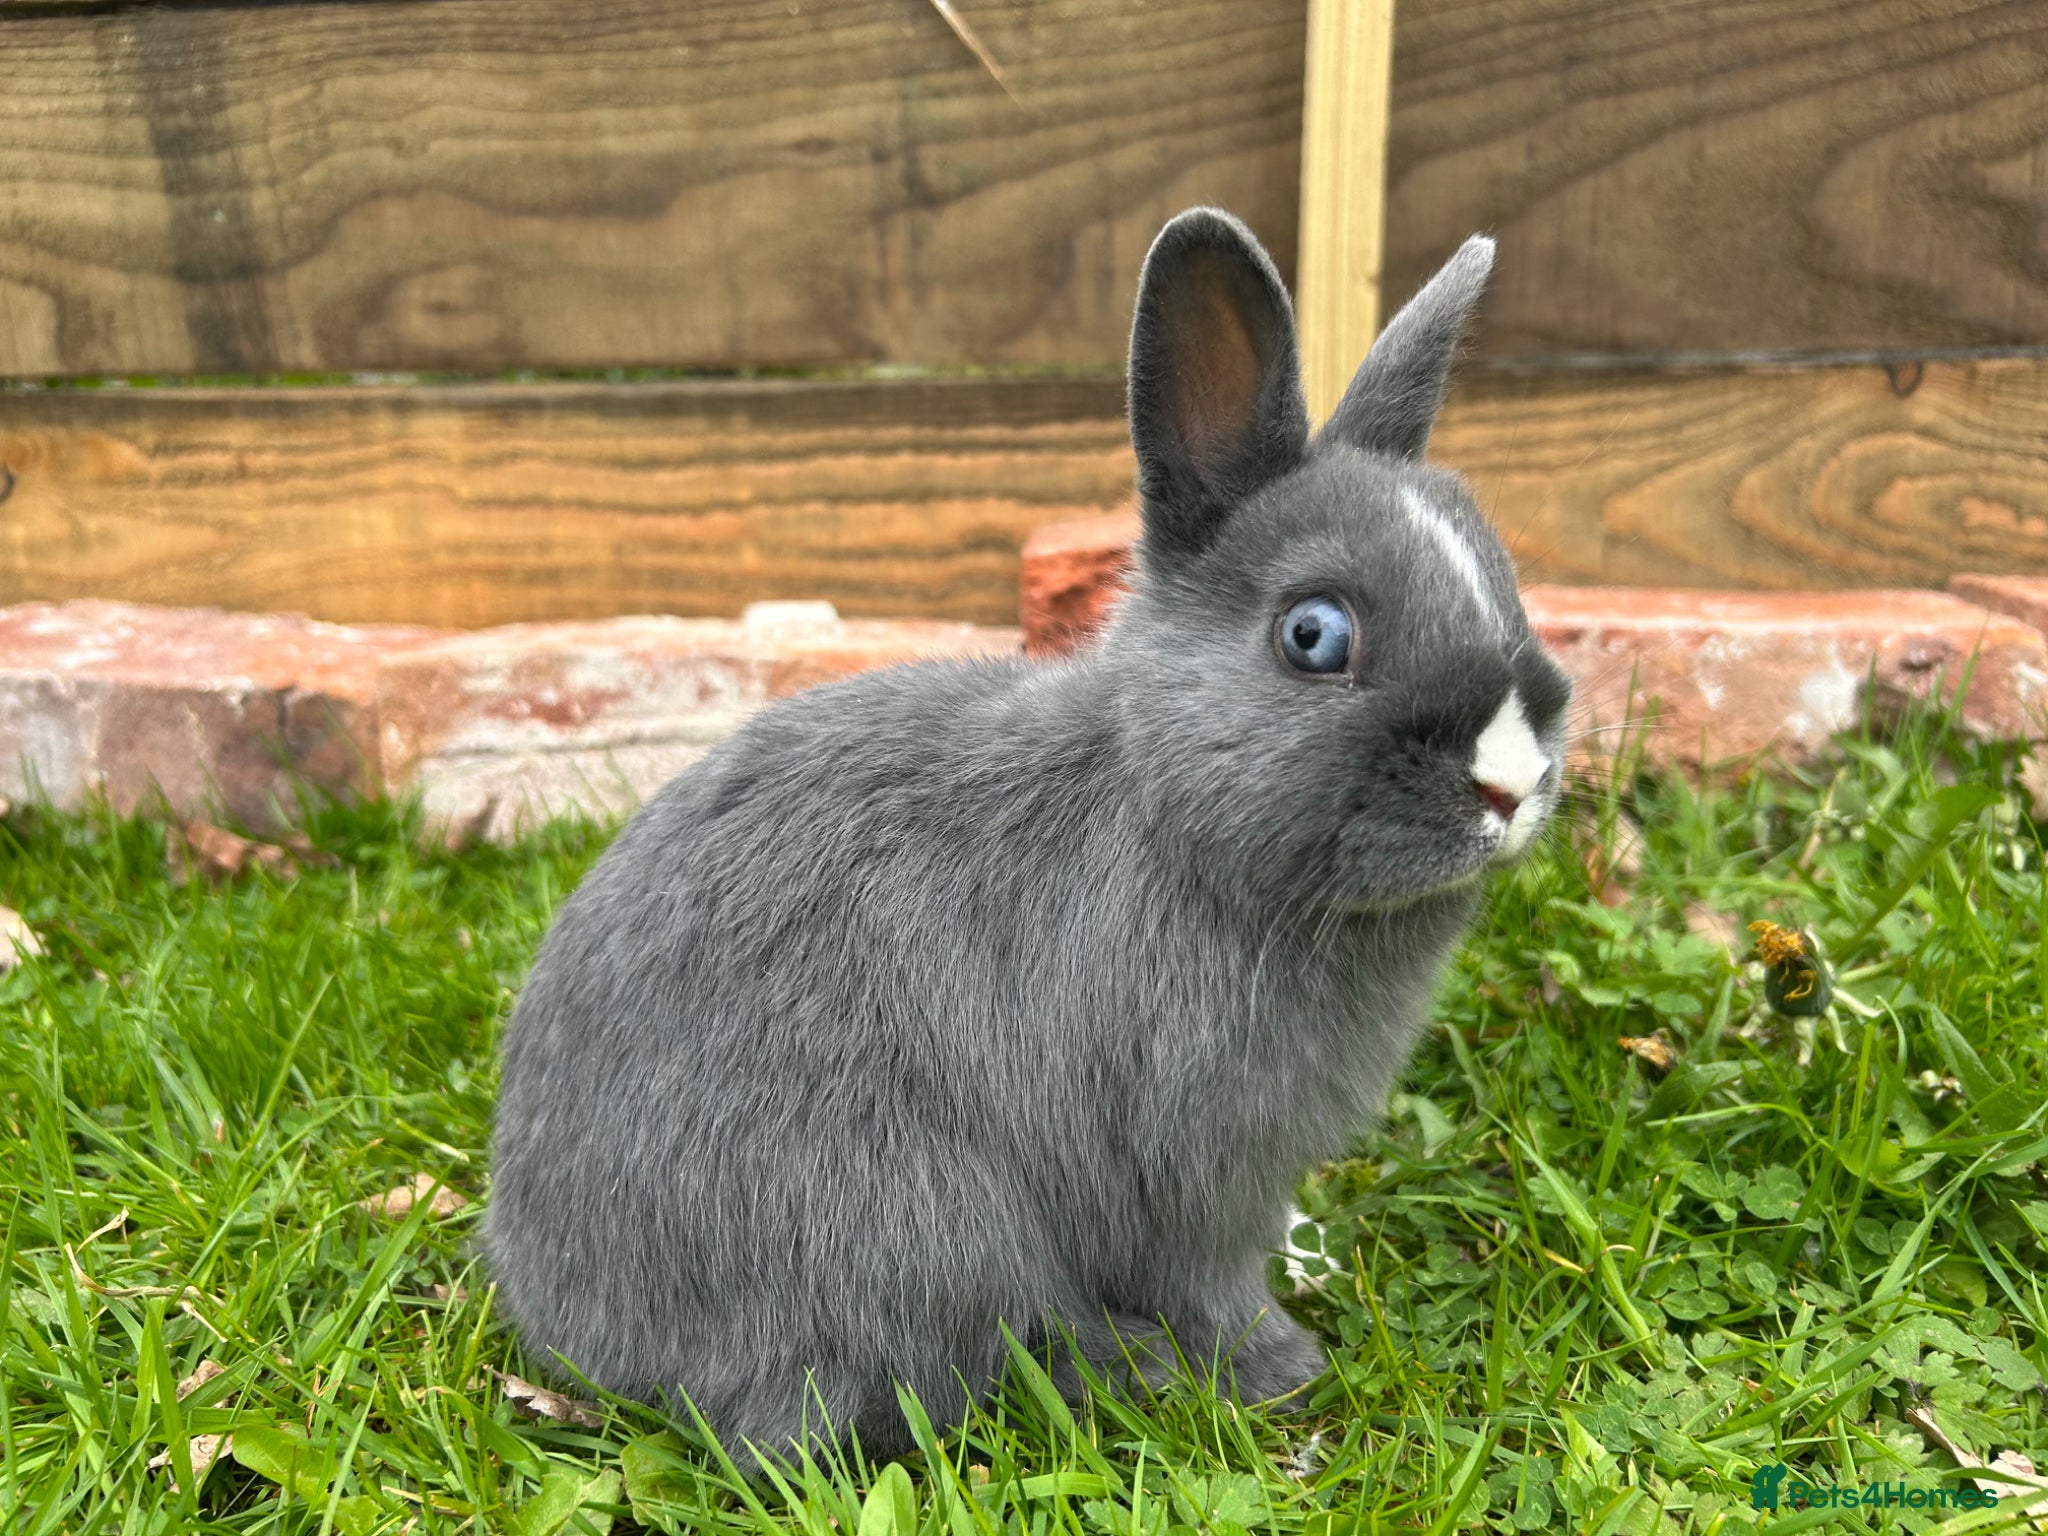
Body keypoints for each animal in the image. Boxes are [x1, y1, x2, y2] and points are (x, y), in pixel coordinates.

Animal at [484, 207, 1572, 1467]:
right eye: (1313, 634)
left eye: (1504, 580)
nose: (1511, 781)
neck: (1162, 809)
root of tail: (574, 1328)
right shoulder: (1188, 1172)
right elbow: (1209, 1286)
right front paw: (1281, 1372)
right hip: (909, 1223)